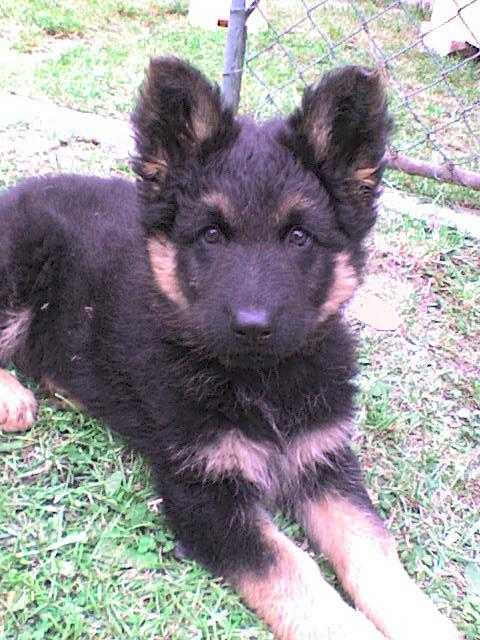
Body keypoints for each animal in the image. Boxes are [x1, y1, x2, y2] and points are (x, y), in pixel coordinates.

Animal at [0, 58, 460, 640]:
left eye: (300, 237)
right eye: (212, 234)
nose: (252, 326)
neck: (262, 380)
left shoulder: (327, 462)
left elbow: (373, 550)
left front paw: (424, 619)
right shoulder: (204, 494)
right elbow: (293, 573)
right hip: (22, 262)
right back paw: (13, 397)